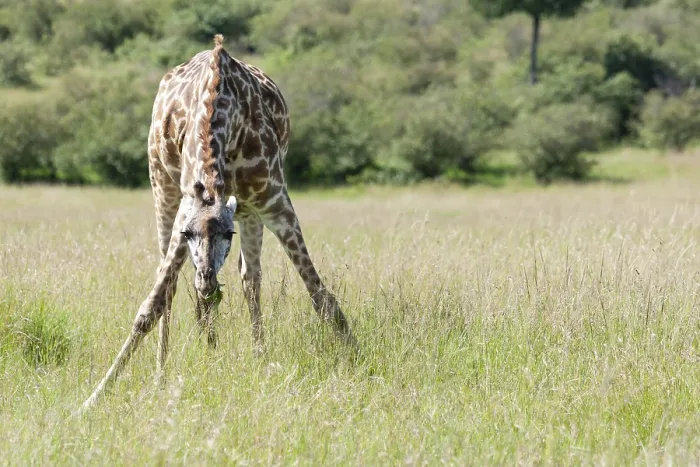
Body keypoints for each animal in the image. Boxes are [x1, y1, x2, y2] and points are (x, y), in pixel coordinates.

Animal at [81, 35, 355, 409]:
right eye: (188, 233)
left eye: (229, 232)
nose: (209, 280)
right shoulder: (184, 211)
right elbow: (150, 306)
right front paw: (94, 397)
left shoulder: (275, 202)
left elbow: (319, 294)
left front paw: (356, 354)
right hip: (161, 187)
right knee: (175, 287)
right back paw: (166, 372)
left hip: (250, 210)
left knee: (249, 277)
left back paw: (255, 356)